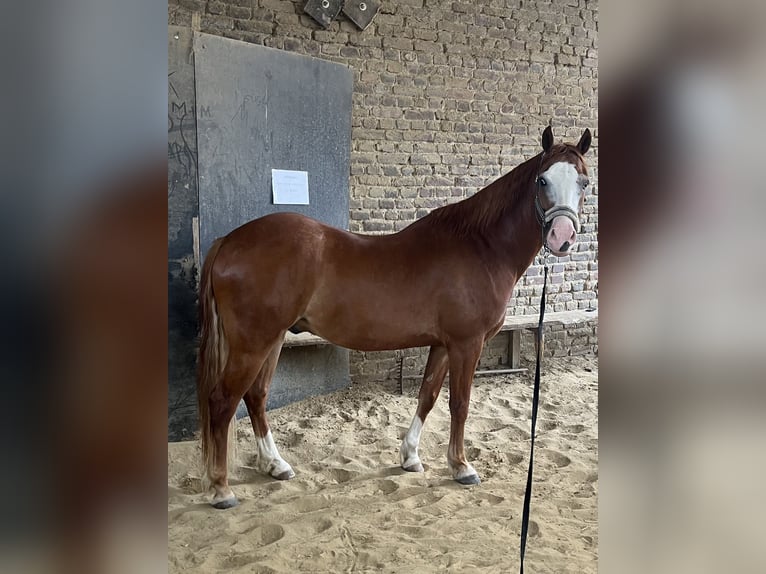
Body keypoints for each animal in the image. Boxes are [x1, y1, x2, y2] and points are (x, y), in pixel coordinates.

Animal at [197, 126, 592, 508]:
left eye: (584, 182)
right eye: (542, 180)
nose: (562, 237)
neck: (481, 246)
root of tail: (229, 241)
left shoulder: (443, 344)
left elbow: (427, 396)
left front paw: (410, 457)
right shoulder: (467, 344)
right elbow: (459, 403)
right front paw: (461, 467)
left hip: (273, 338)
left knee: (255, 396)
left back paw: (275, 464)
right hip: (253, 343)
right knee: (223, 401)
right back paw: (221, 488)